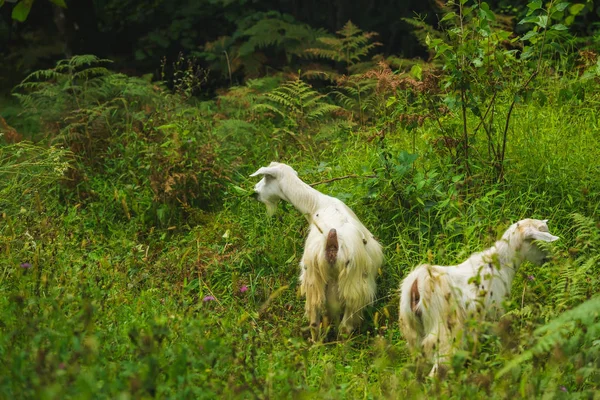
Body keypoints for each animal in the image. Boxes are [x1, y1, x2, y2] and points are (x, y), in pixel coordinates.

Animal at [250, 162, 384, 340]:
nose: (255, 192)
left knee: (315, 322)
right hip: (350, 288)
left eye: (266, 177)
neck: (315, 204)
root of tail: (332, 243)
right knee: (342, 326)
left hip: (315, 280)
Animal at [398, 217, 556, 376]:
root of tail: (417, 282)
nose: (550, 258)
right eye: (539, 240)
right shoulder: (494, 314)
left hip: (414, 334)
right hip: (445, 331)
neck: (500, 265)